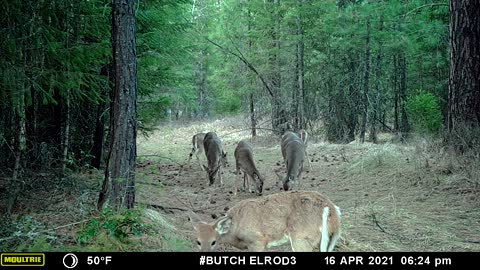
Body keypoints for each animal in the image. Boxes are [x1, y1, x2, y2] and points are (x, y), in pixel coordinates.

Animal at [188, 191, 342, 252]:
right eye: (198, 241)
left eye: (213, 241)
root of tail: (331, 208)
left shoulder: (258, 241)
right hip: (330, 239)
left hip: (302, 237)